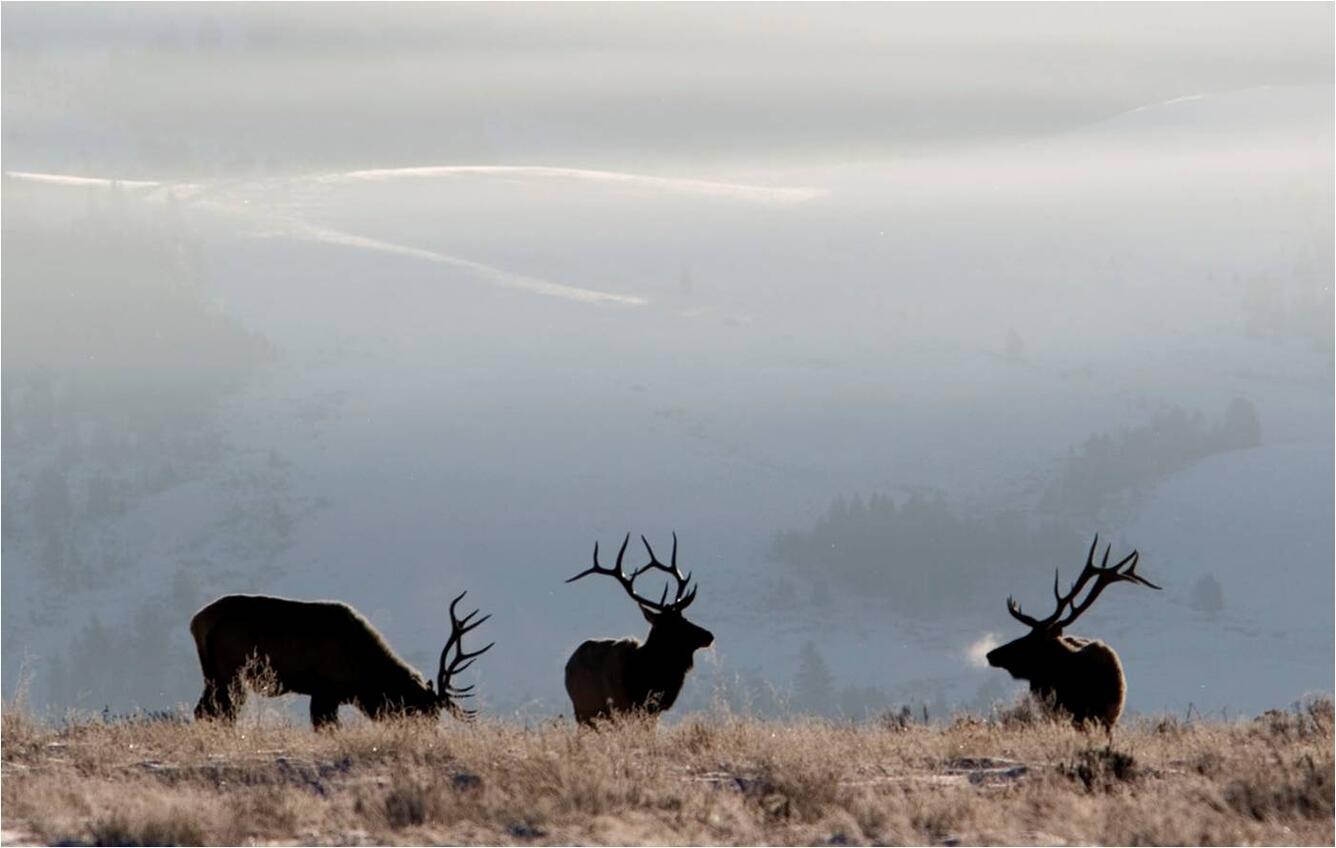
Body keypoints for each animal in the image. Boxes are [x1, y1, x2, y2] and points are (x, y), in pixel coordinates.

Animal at [191, 590, 494, 731]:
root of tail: (197, 621)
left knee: (204, 711)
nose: (432, 737)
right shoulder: (325, 692)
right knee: (222, 712)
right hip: (231, 675)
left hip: (212, 676)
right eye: (425, 714)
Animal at [561, 536, 710, 721]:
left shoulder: (653, 711)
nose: (708, 635)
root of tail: (569, 663)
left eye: (684, 618)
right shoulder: (623, 706)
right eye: (673, 625)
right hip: (584, 710)